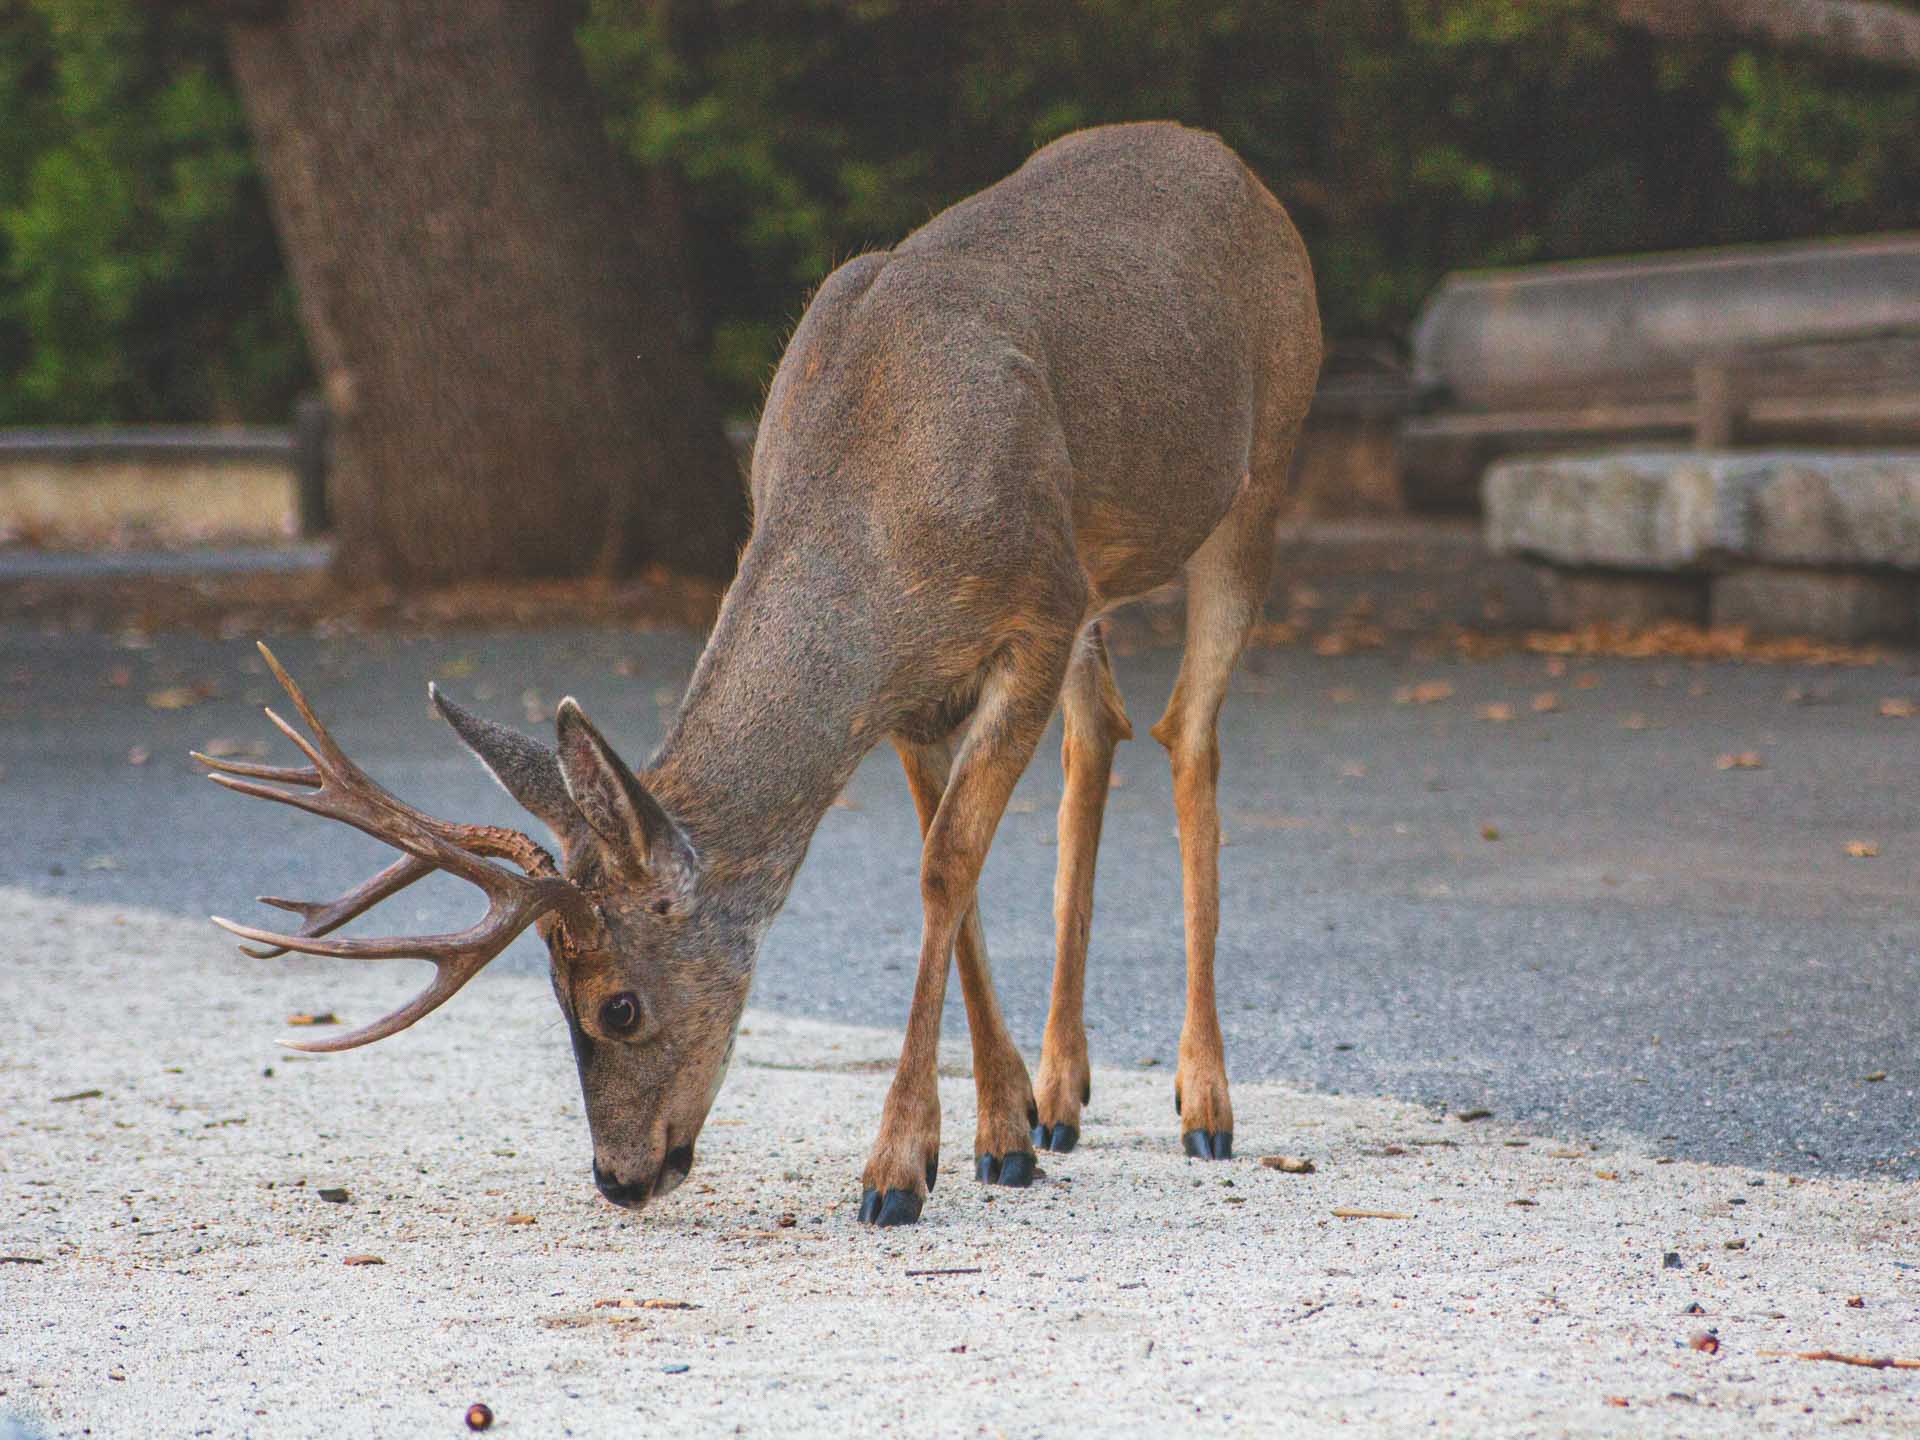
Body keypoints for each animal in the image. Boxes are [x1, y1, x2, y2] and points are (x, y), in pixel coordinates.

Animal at [202, 121, 1328, 1228]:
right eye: (553, 996)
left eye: (617, 1004)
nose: (618, 1178)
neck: (882, 515)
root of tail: (1234, 165)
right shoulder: (919, 688)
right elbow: (952, 869)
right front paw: (999, 1135)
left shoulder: (1039, 608)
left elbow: (945, 868)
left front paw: (895, 1171)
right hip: (1107, 565)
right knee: (1103, 735)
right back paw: (1063, 1097)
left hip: (1262, 465)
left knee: (1189, 734)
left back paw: (1206, 1103)